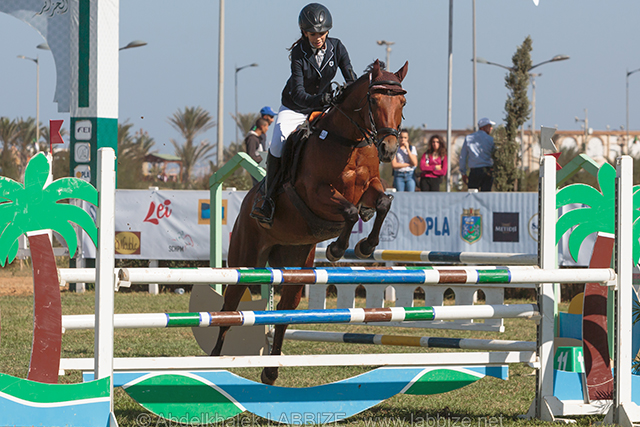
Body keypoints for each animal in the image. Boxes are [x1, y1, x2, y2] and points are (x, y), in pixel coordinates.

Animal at [212, 59, 408, 385]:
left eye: (402, 102)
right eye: (374, 100)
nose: (390, 148)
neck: (349, 140)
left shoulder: (371, 187)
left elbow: (381, 203)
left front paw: (365, 245)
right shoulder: (316, 192)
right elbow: (349, 212)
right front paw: (337, 249)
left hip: (295, 267)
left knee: (283, 312)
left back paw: (270, 371)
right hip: (246, 260)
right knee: (228, 309)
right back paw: (213, 361)